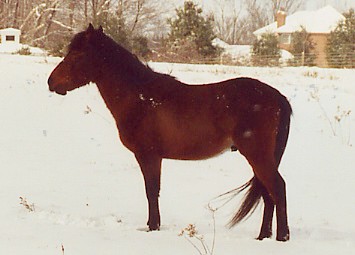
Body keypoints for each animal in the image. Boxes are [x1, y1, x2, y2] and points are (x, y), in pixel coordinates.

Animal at [48, 23, 292, 241]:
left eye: (77, 55)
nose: (51, 82)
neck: (140, 96)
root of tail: (278, 97)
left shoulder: (148, 156)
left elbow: (151, 191)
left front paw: (153, 227)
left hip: (257, 155)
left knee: (277, 189)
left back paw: (281, 237)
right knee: (268, 194)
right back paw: (263, 236)